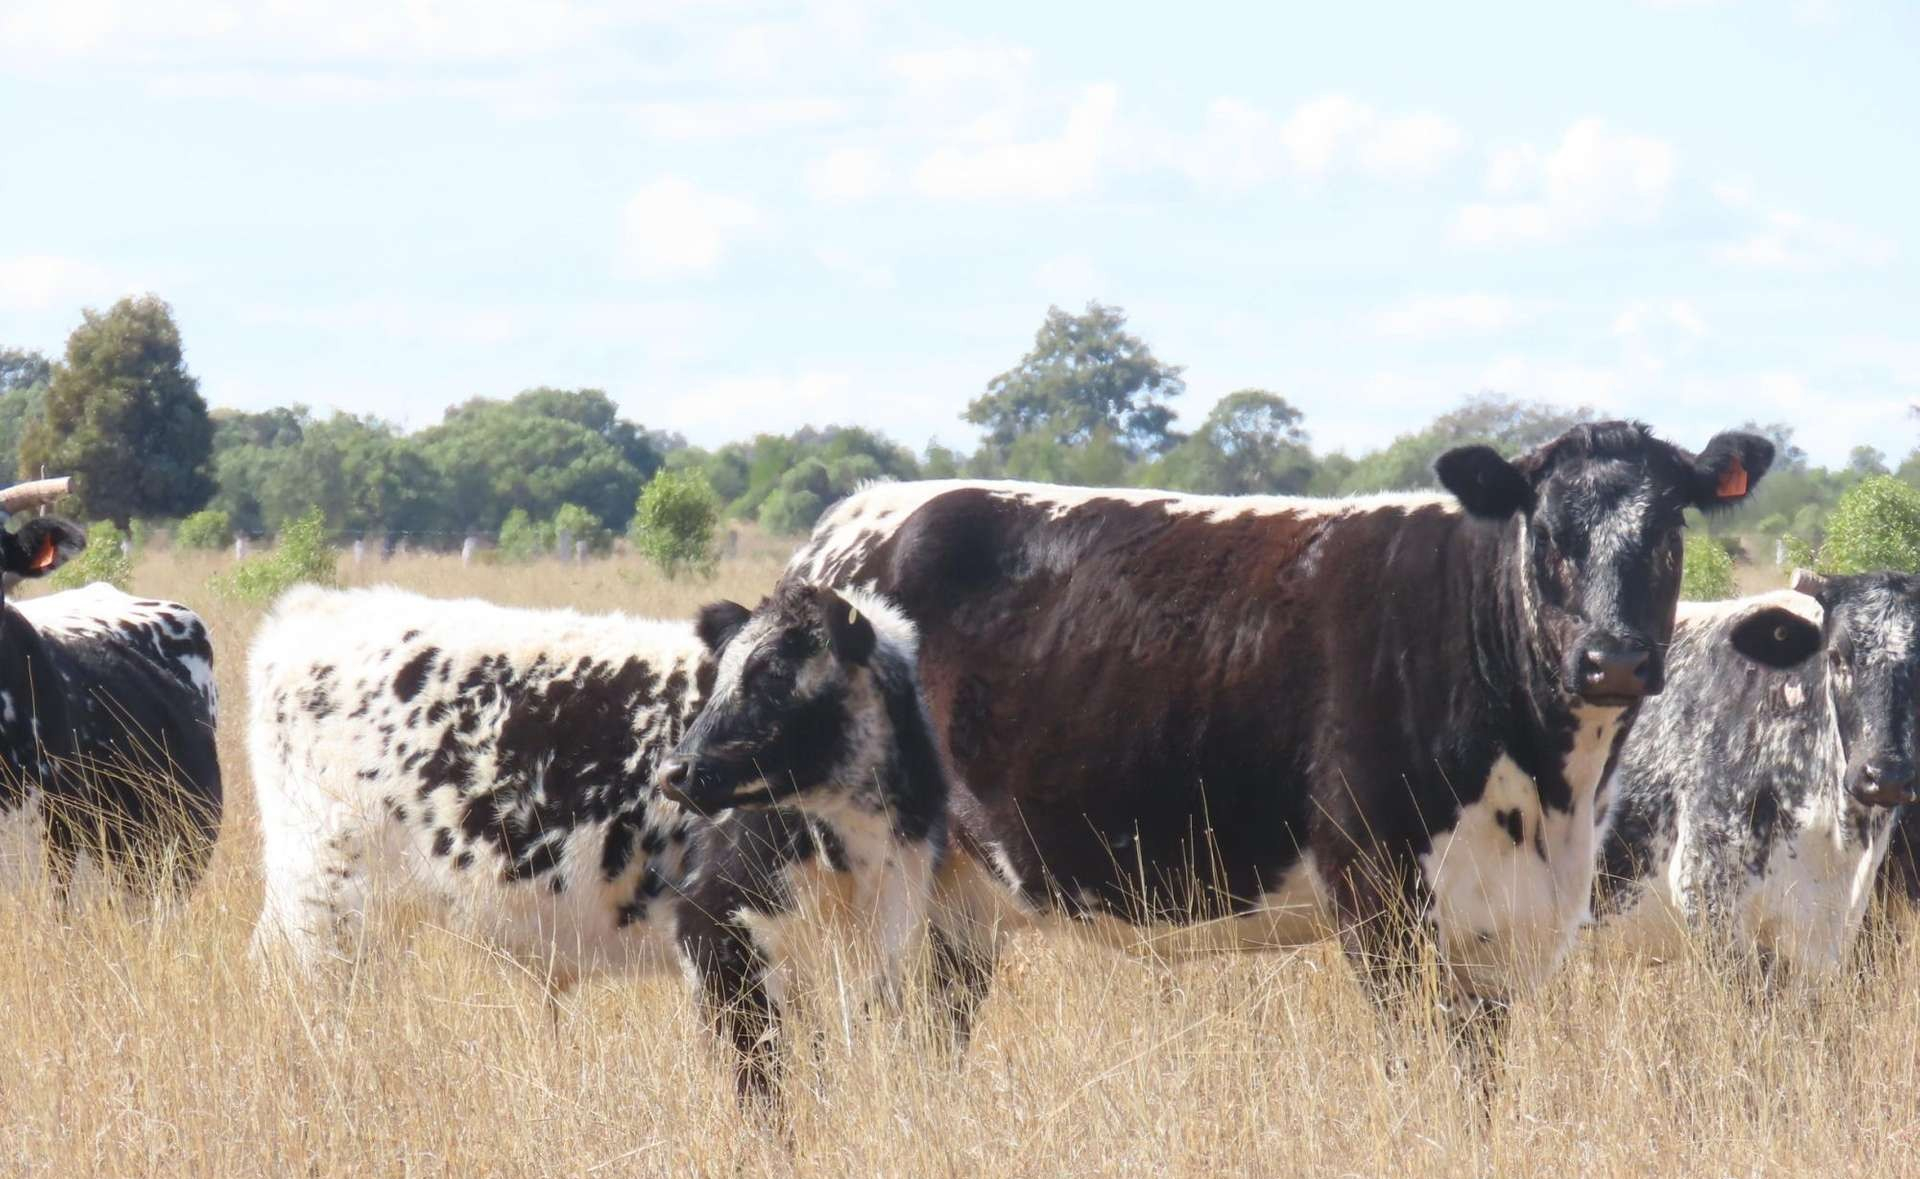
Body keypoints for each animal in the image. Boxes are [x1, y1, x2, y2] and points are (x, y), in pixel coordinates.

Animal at [247, 580, 947, 1102]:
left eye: (776, 675)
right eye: (723, 673)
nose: (676, 772)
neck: (854, 851)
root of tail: (314, 610)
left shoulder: (877, 940)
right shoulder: (716, 933)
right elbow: (762, 1084)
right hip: (324, 905)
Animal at [785, 421, 1775, 1054]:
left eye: (1668, 527)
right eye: (1551, 533)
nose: (1614, 658)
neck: (1549, 797)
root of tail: (848, 523)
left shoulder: (1493, 928)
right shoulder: (1377, 893)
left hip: (953, 903)